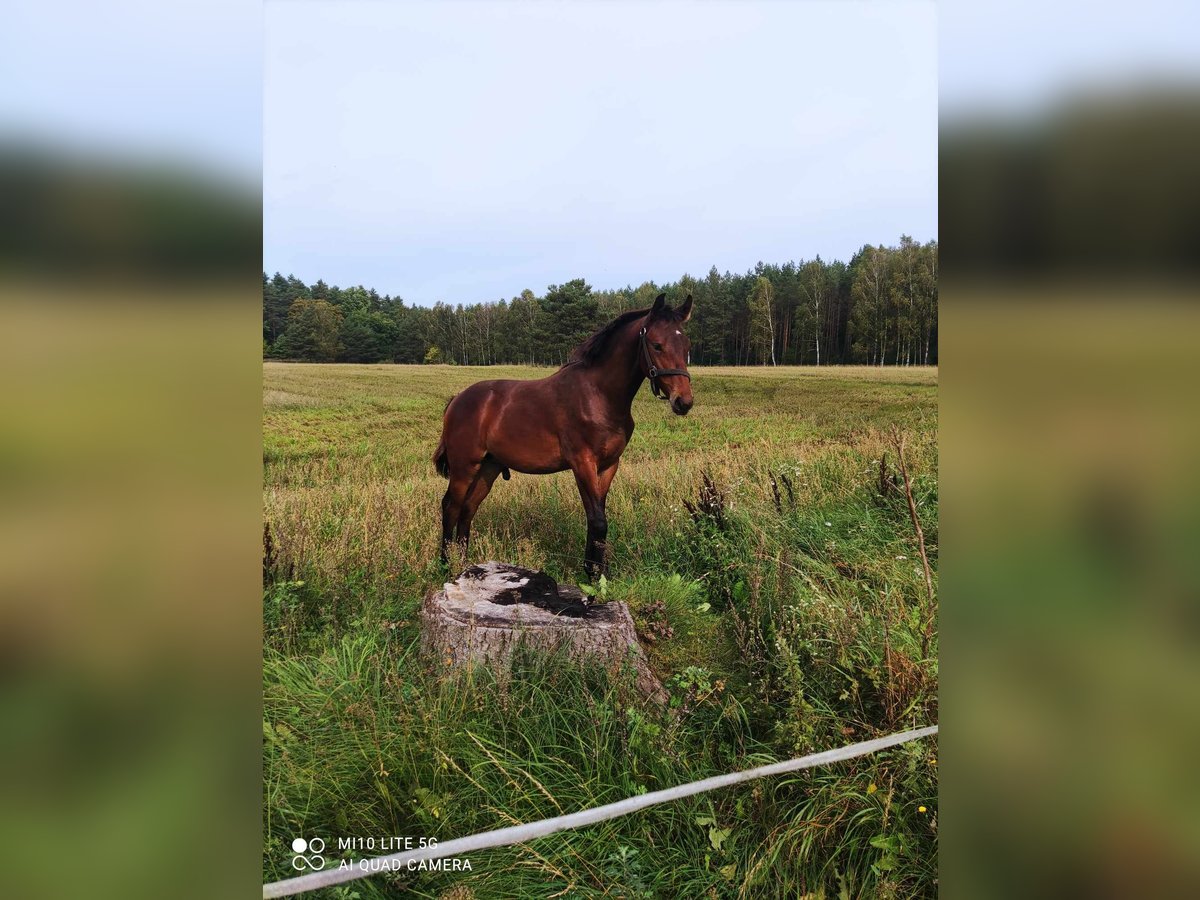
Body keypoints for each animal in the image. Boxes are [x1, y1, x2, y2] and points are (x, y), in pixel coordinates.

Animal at [432, 292, 696, 580]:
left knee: (468, 509)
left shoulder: (609, 466)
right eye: (657, 345)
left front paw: (597, 571)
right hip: (464, 467)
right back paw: (445, 565)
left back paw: (463, 563)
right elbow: (598, 520)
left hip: (488, 468)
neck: (598, 395)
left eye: (686, 345)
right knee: (451, 506)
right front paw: (593, 575)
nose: (683, 402)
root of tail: (457, 400)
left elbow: (597, 517)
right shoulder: (582, 464)